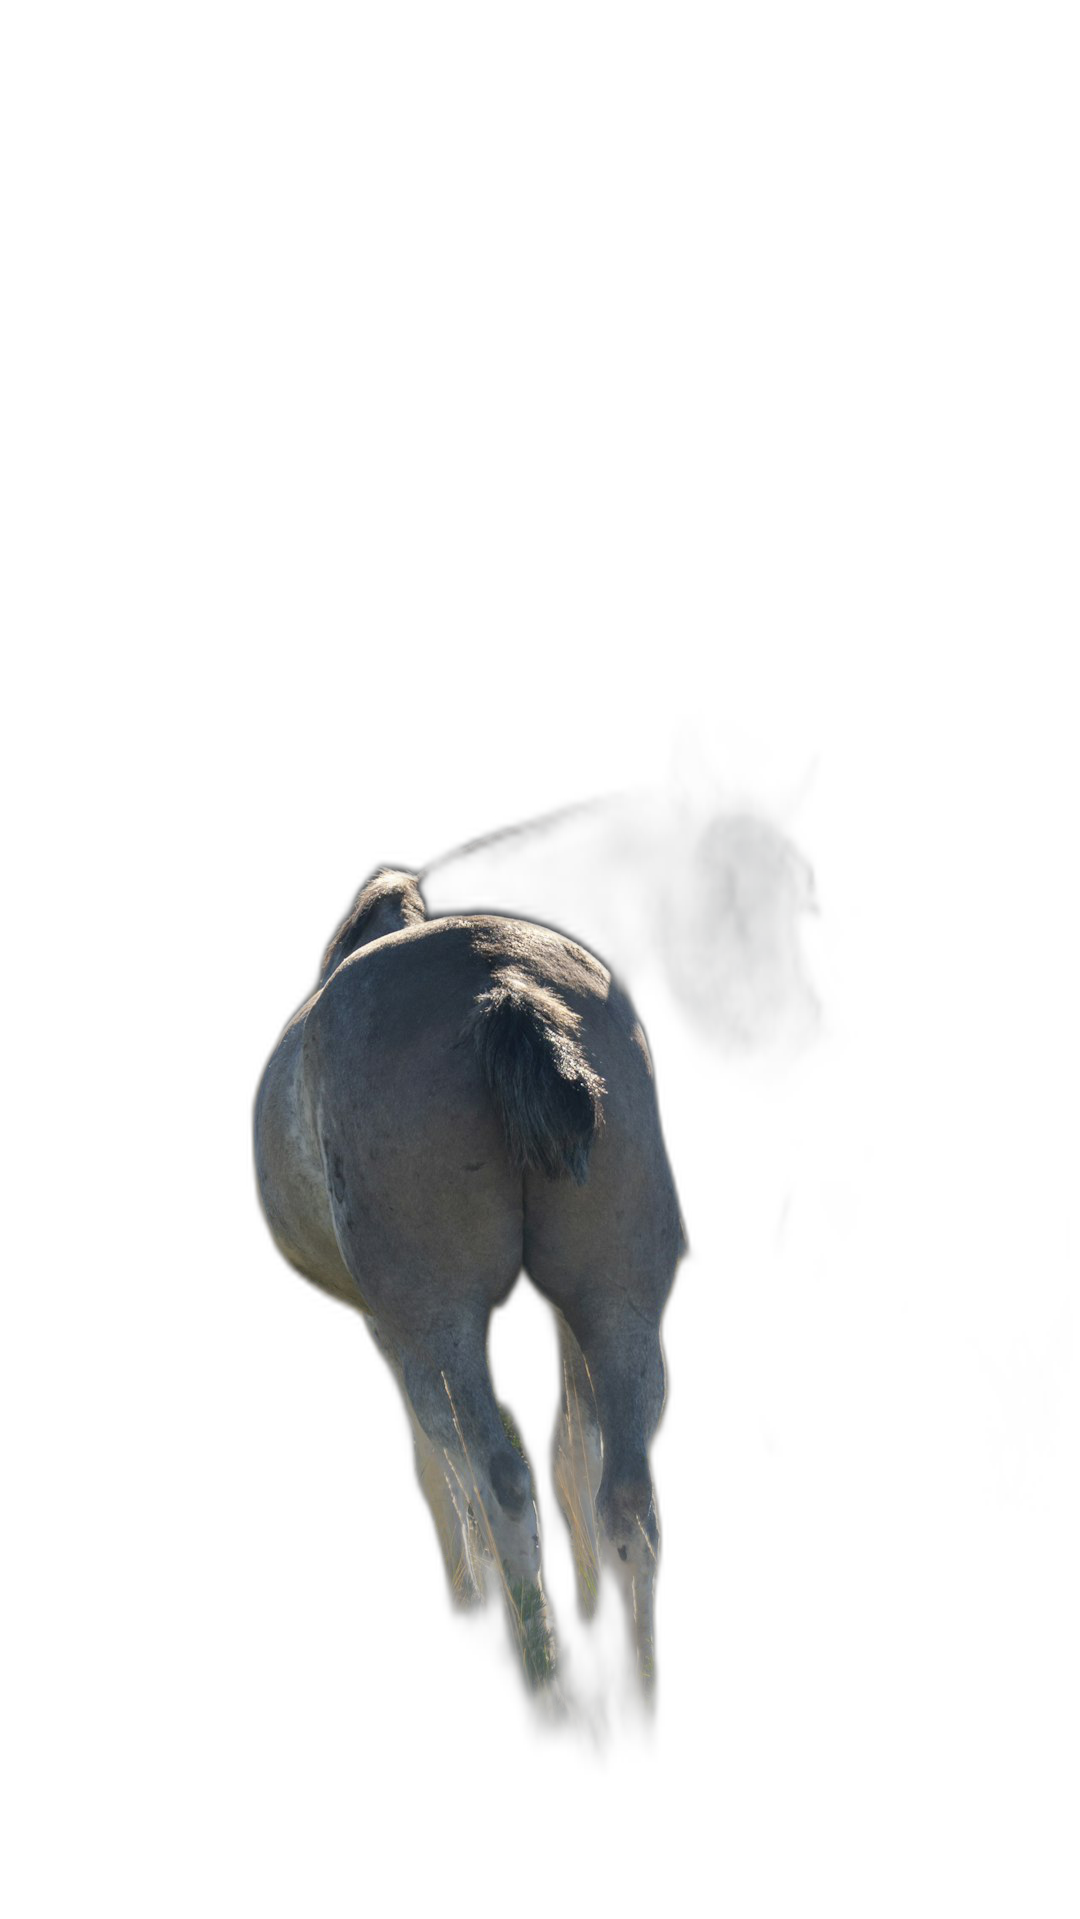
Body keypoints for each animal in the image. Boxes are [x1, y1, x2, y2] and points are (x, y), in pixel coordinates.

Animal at [253, 871, 682, 1727]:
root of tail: (503, 980)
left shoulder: (394, 1325)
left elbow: (438, 1464)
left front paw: (471, 1600)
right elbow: (574, 1451)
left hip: (438, 1315)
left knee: (500, 1479)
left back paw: (546, 1692)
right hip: (616, 1298)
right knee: (626, 1498)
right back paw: (636, 1692)